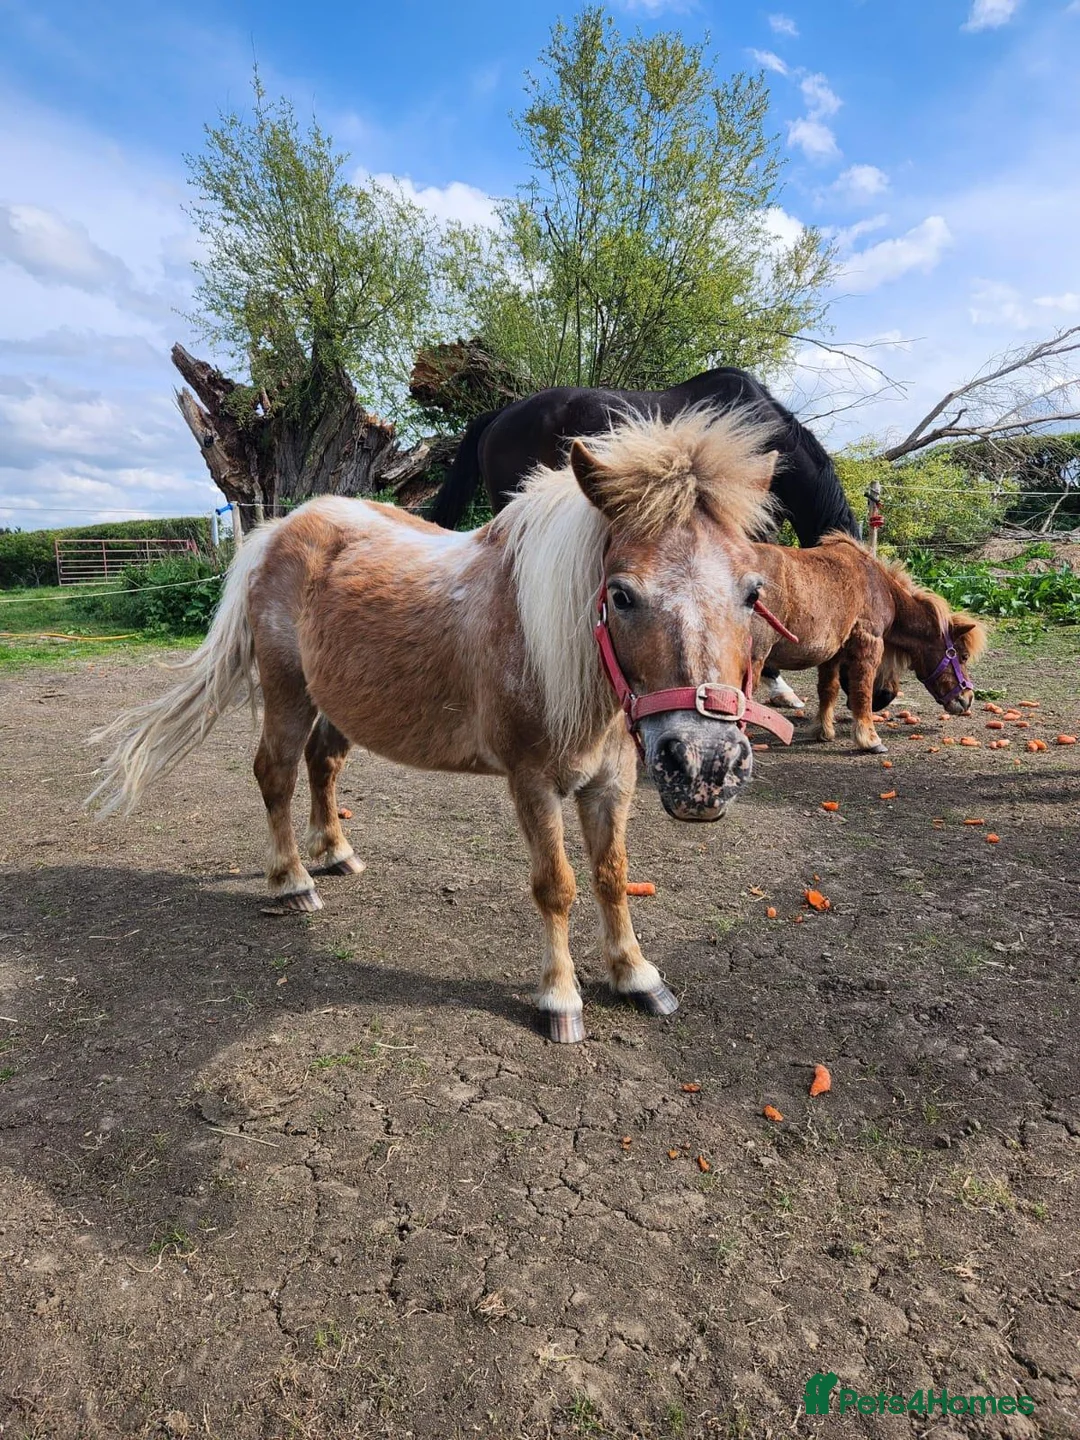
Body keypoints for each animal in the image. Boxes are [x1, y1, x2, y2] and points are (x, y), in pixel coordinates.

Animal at [88, 409, 795, 1044]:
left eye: (753, 592)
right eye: (621, 594)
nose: (705, 767)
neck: (552, 646)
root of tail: (278, 530)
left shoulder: (613, 781)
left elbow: (613, 874)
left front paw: (636, 976)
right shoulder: (533, 782)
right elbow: (557, 886)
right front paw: (560, 999)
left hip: (338, 705)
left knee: (322, 765)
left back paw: (335, 854)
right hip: (289, 693)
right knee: (276, 774)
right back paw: (292, 882)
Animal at [747, 534, 988, 753]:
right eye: (963, 656)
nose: (968, 698)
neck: (880, 587)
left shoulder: (833, 653)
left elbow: (828, 689)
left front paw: (824, 731)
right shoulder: (868, 644)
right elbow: (862, 690)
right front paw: (870, 739)